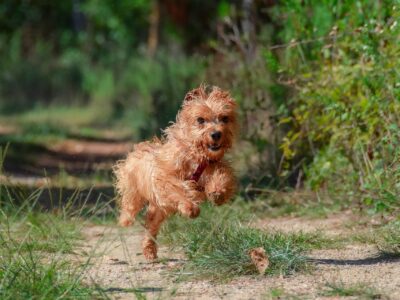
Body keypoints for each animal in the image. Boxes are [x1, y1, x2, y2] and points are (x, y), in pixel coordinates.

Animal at [113, 85, 238, 260]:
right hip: (133, 189)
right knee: (130, 204)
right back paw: (125, 220)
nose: (216, 134)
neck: (196, 154)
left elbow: (222, 175)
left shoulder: (213, 166)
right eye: (200, 120)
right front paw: (190, 208)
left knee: (150, 227)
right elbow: (179, 189)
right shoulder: (166, 178)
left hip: (158, 210)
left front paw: (218, 193)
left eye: (224, 118)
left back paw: (149, 249)